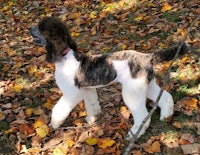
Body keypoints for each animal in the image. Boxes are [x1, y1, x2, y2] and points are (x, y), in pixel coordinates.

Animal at [29, 17, 188, 139]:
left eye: (40, 28)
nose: (30, 29)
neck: (64, 57)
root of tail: (146, 57)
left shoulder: (71, 94)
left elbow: (59, 109)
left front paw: (54, 124)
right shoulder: (87, 89)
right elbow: (92, 105)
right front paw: (92, 119)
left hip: (132, 92)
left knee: (142, 115)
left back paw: (134, 134)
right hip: (146, 85)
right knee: (165, 97)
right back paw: (166, 116)